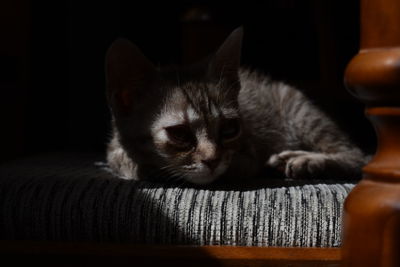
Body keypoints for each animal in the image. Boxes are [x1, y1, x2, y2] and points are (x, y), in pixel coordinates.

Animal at [104, 27, 368, 186]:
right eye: (179, 134)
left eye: (230, 128)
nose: (212, 160)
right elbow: (117, 156)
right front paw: (138, 164)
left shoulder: (249, 158)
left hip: (301, 112)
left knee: (357, 155)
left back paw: (306, 160)